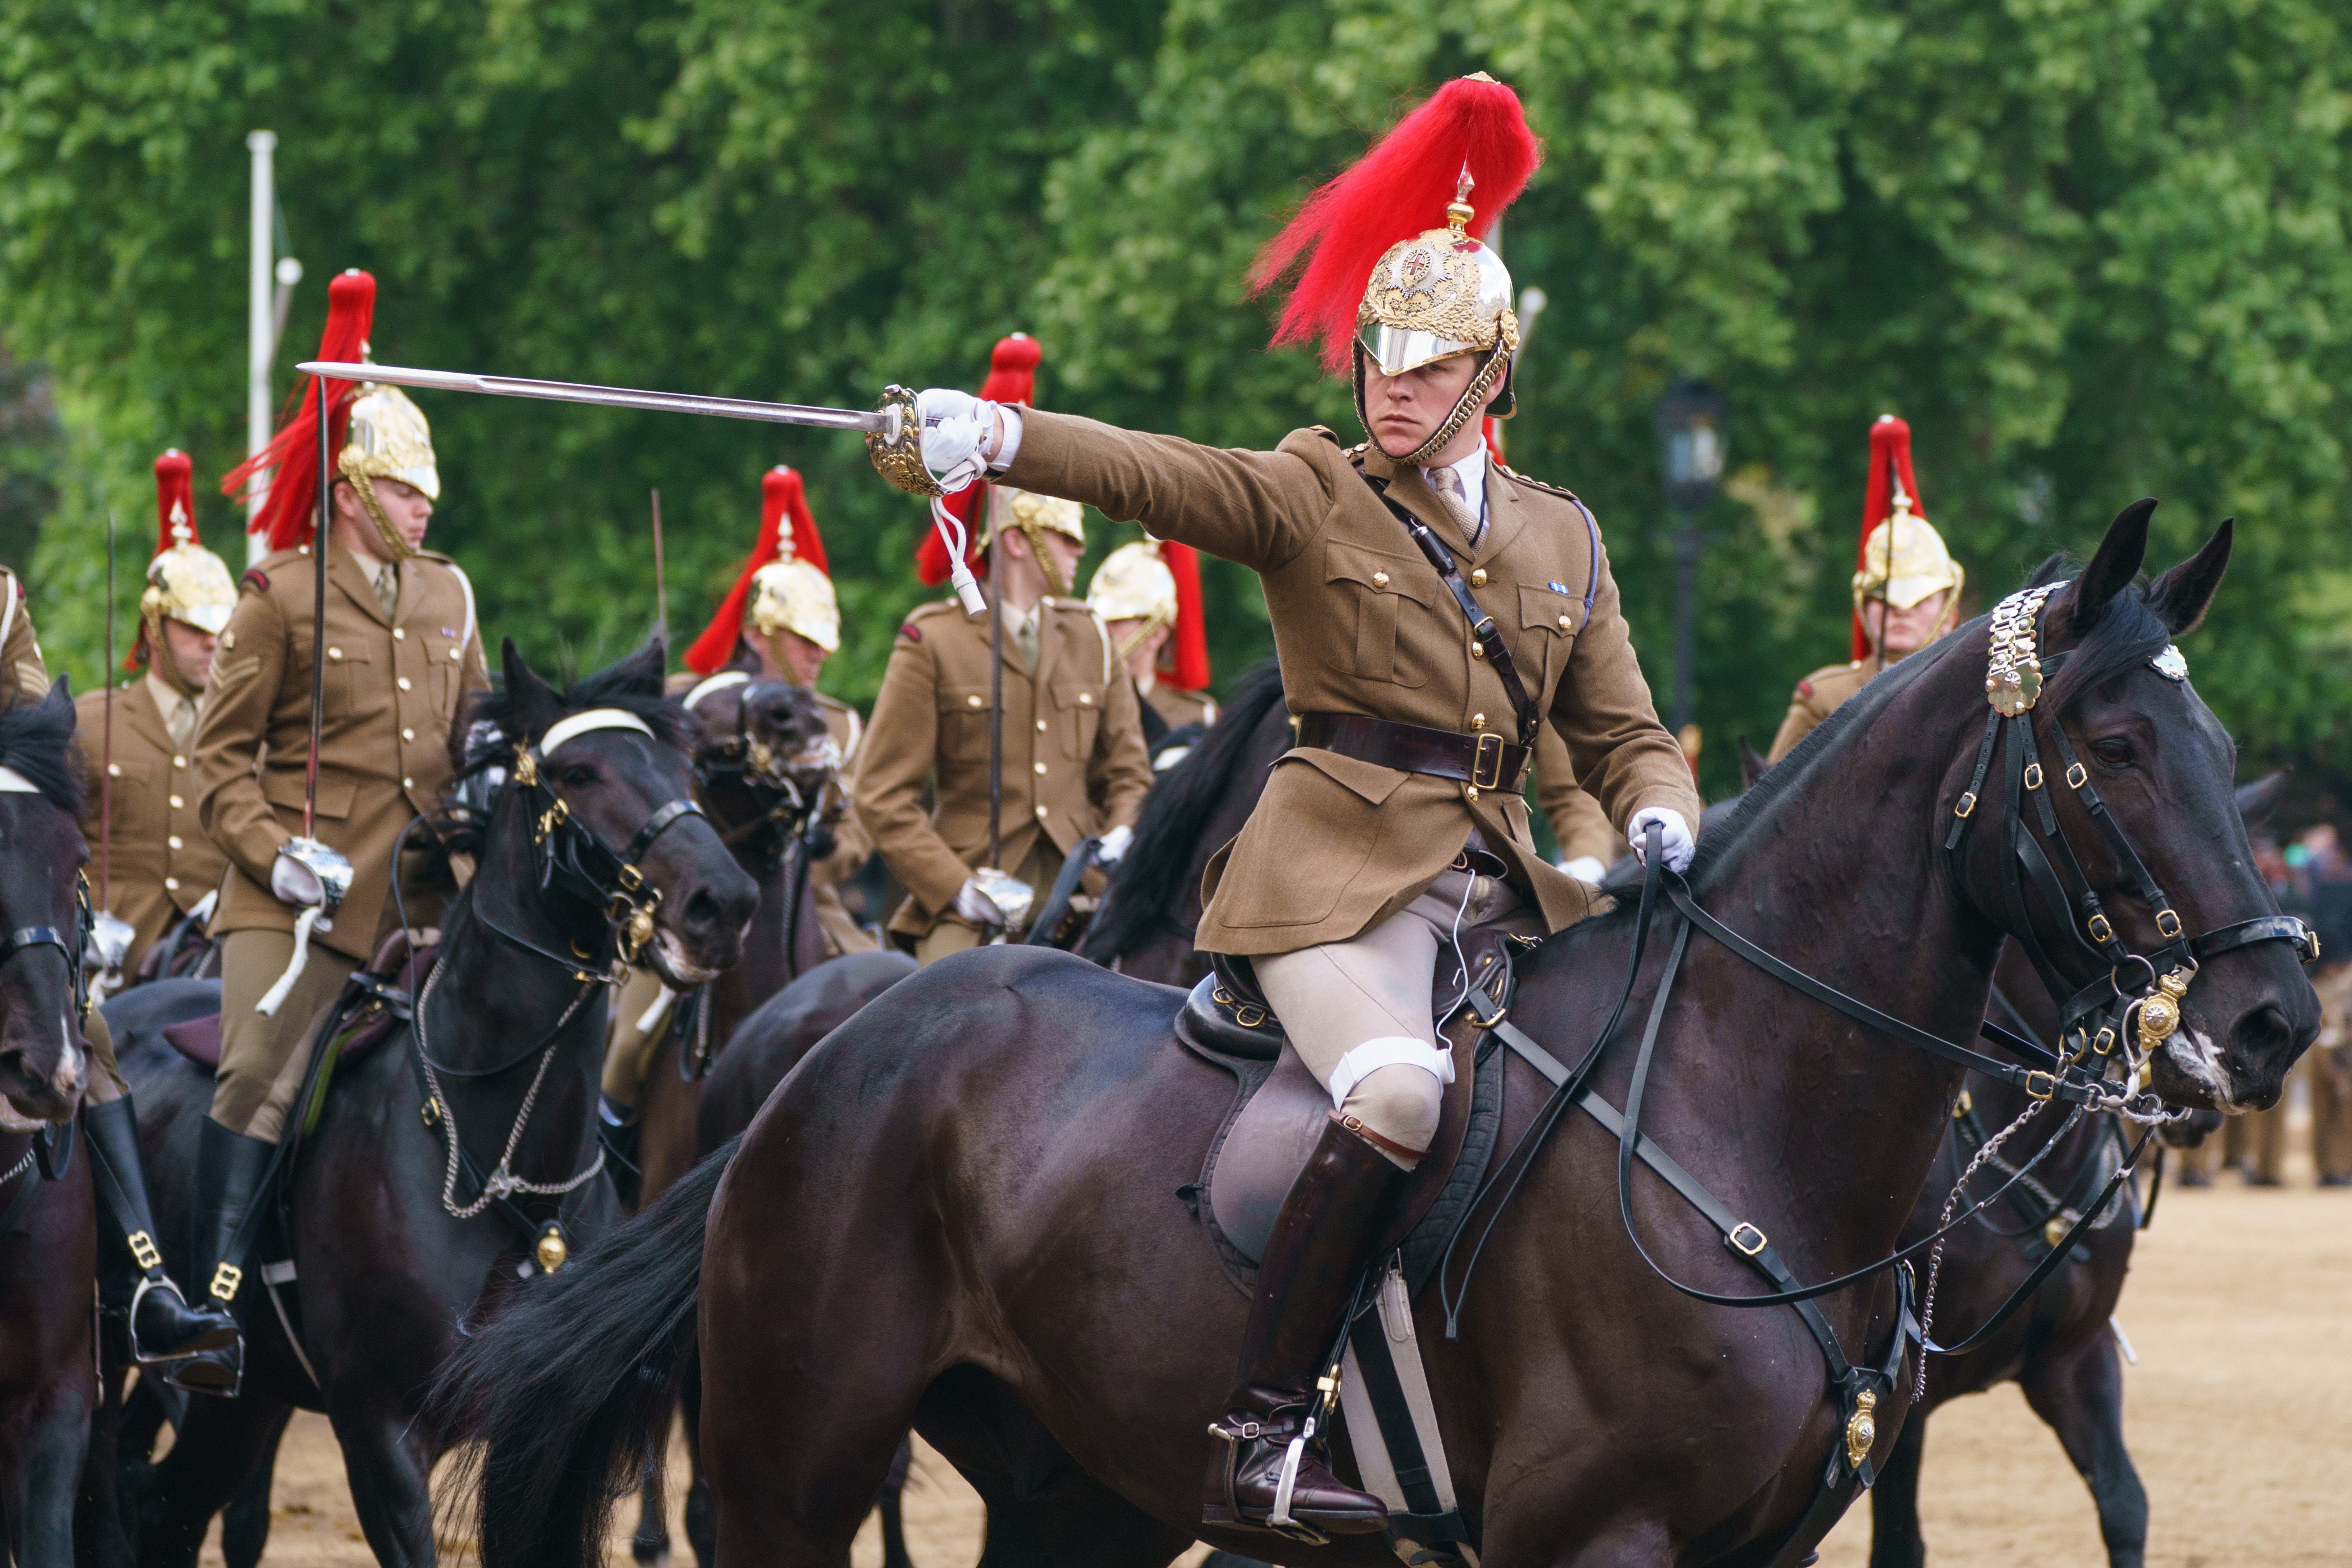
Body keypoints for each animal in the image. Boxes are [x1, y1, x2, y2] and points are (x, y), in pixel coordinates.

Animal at [108, 639, 752, 1568]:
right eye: (579, 771)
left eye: (686, 767)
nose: (723, 905)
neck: (505, 1160)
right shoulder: (382, 1438)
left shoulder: (541, 1430)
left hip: (248, 1395)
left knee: (164, 1507)